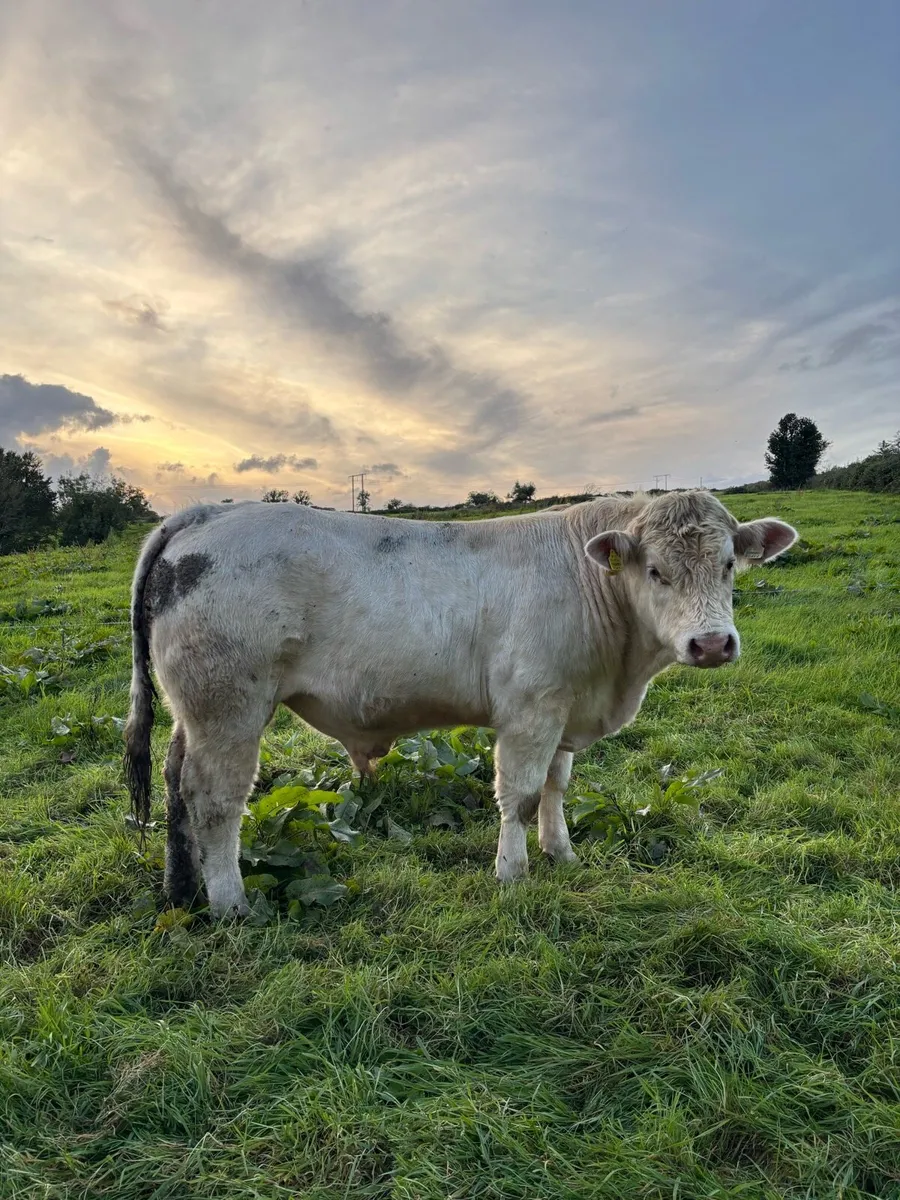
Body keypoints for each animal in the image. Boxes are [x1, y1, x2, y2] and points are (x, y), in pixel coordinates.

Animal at [124, 490, 796, 917]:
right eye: (655, 570)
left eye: (729, 564)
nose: (712, 643)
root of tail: (202, 514)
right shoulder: (530, 708)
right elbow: (520, 795)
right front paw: (513, 874)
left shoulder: (564, 706)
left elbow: (556, 788)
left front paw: (562, 853)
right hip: (228, 708)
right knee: (214, 800)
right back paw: (230, 903)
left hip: (195, 713)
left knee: (175, 782)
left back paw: (181, 889)